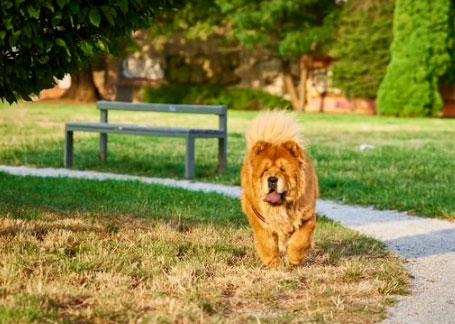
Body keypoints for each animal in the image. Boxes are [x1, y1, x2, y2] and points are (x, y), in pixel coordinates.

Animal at [240, 110, 318, 268]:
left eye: (283, 169)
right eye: (265, 170)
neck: (280, 207)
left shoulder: (307, 218)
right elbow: (267, 243)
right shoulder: (261, 221)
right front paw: (273, 264)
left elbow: (300, 240)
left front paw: (294, 259)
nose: (272, 179)